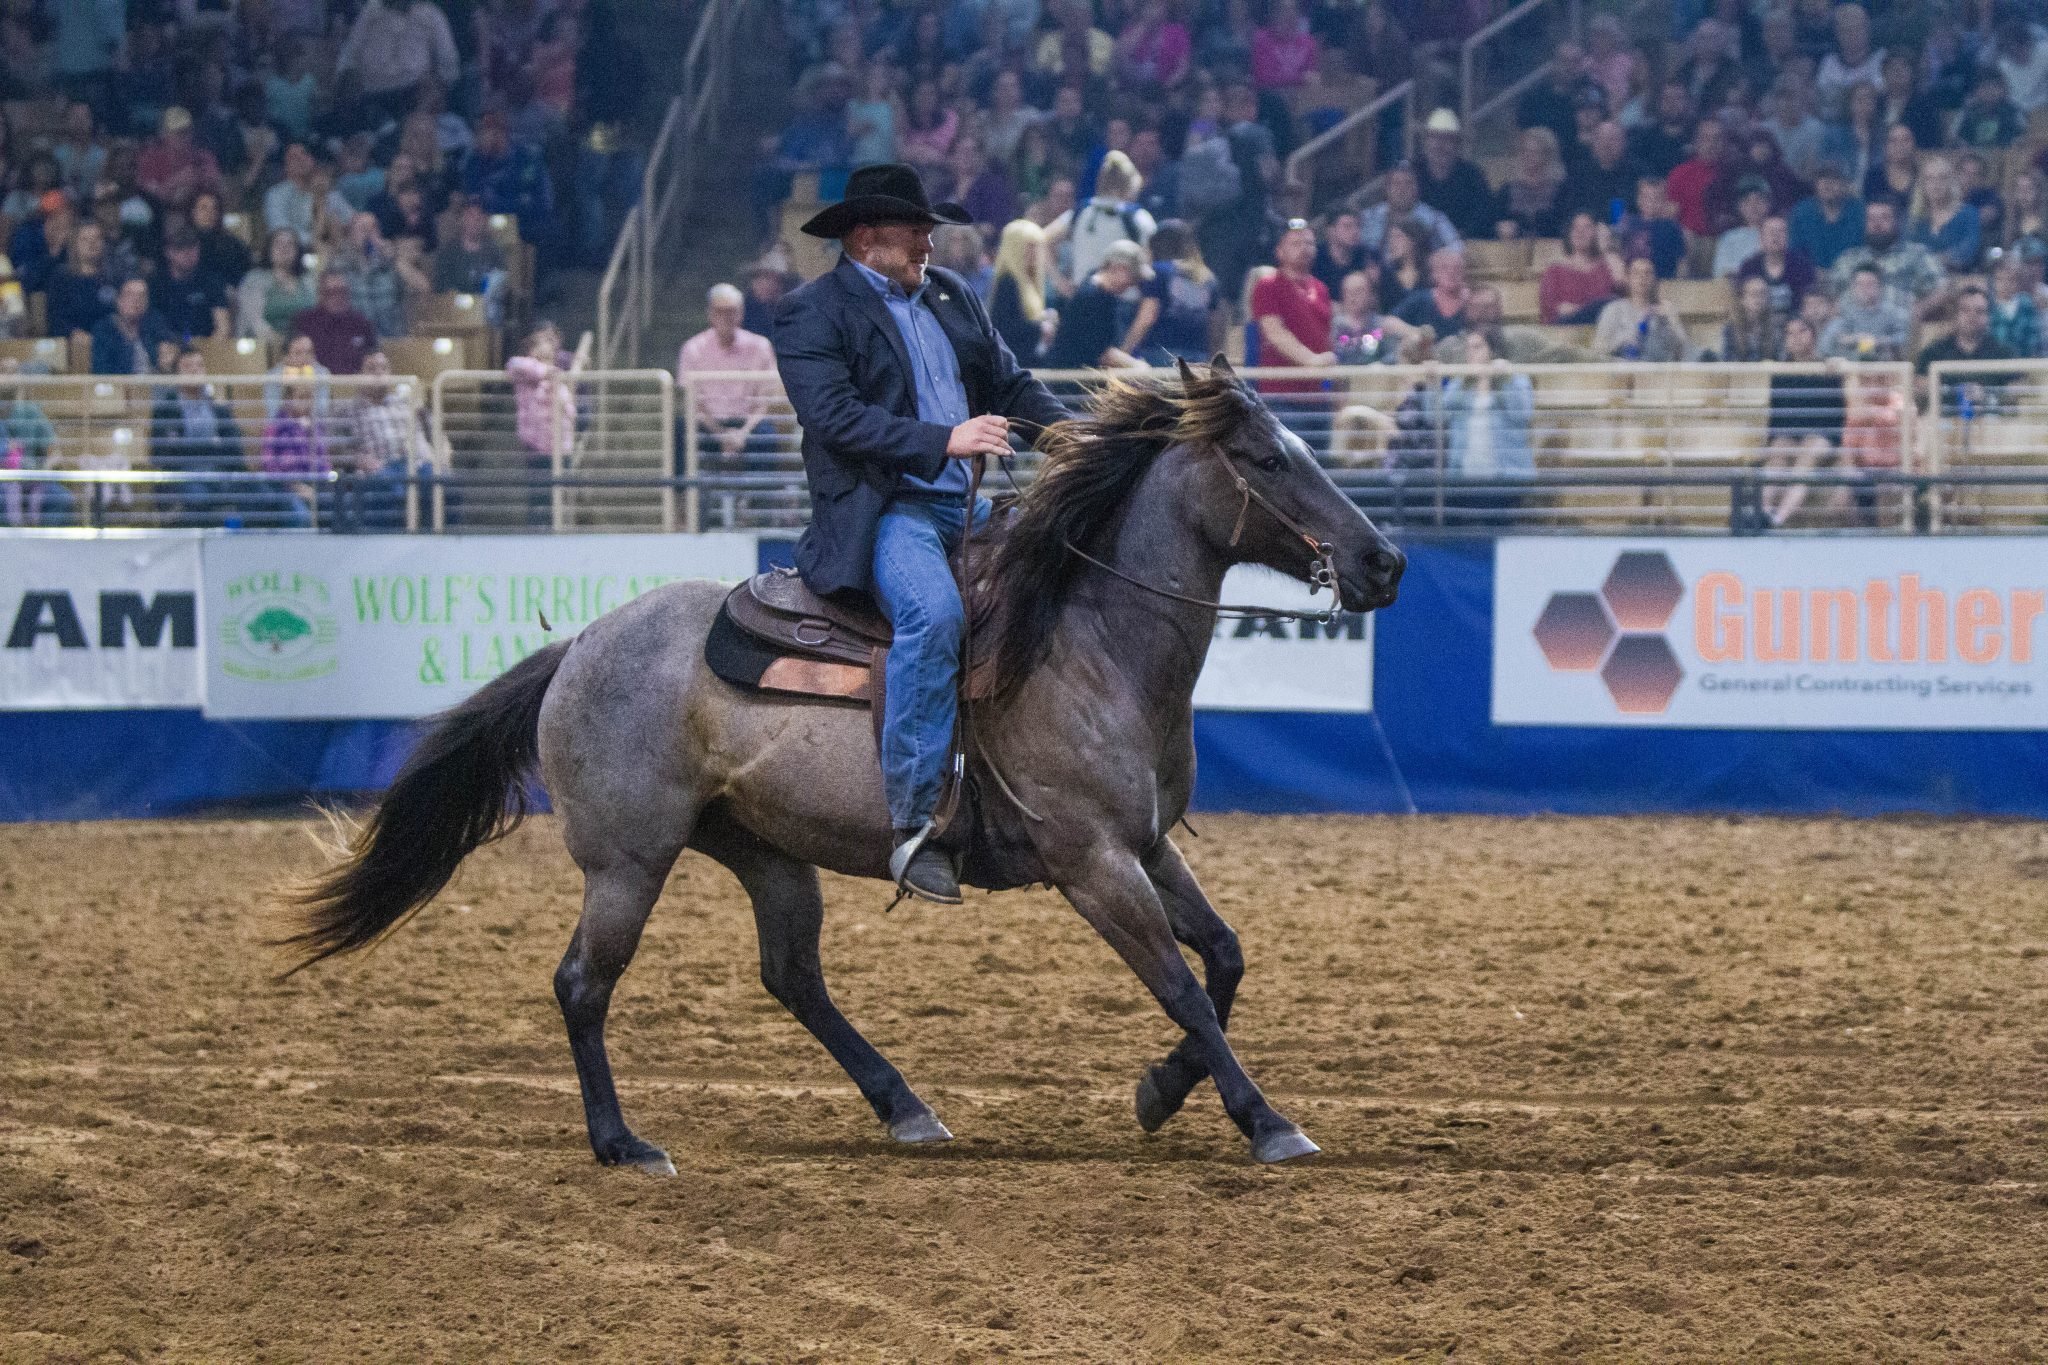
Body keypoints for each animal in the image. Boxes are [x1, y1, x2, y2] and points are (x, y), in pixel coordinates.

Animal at [288, 358, 1409, 1170]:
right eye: (1266, 458)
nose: (1383, 560)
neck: (1085, 641)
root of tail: (579, 645)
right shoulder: (1092, 862)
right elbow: (1178, 983)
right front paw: (1265, 1120)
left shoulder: (1147, 843)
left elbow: (1224, 956)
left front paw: (1159, 1091)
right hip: (628, 862)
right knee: (581, 984)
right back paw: (621, 1143)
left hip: (764, 852)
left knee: (791, 976)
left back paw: (904, 1105)